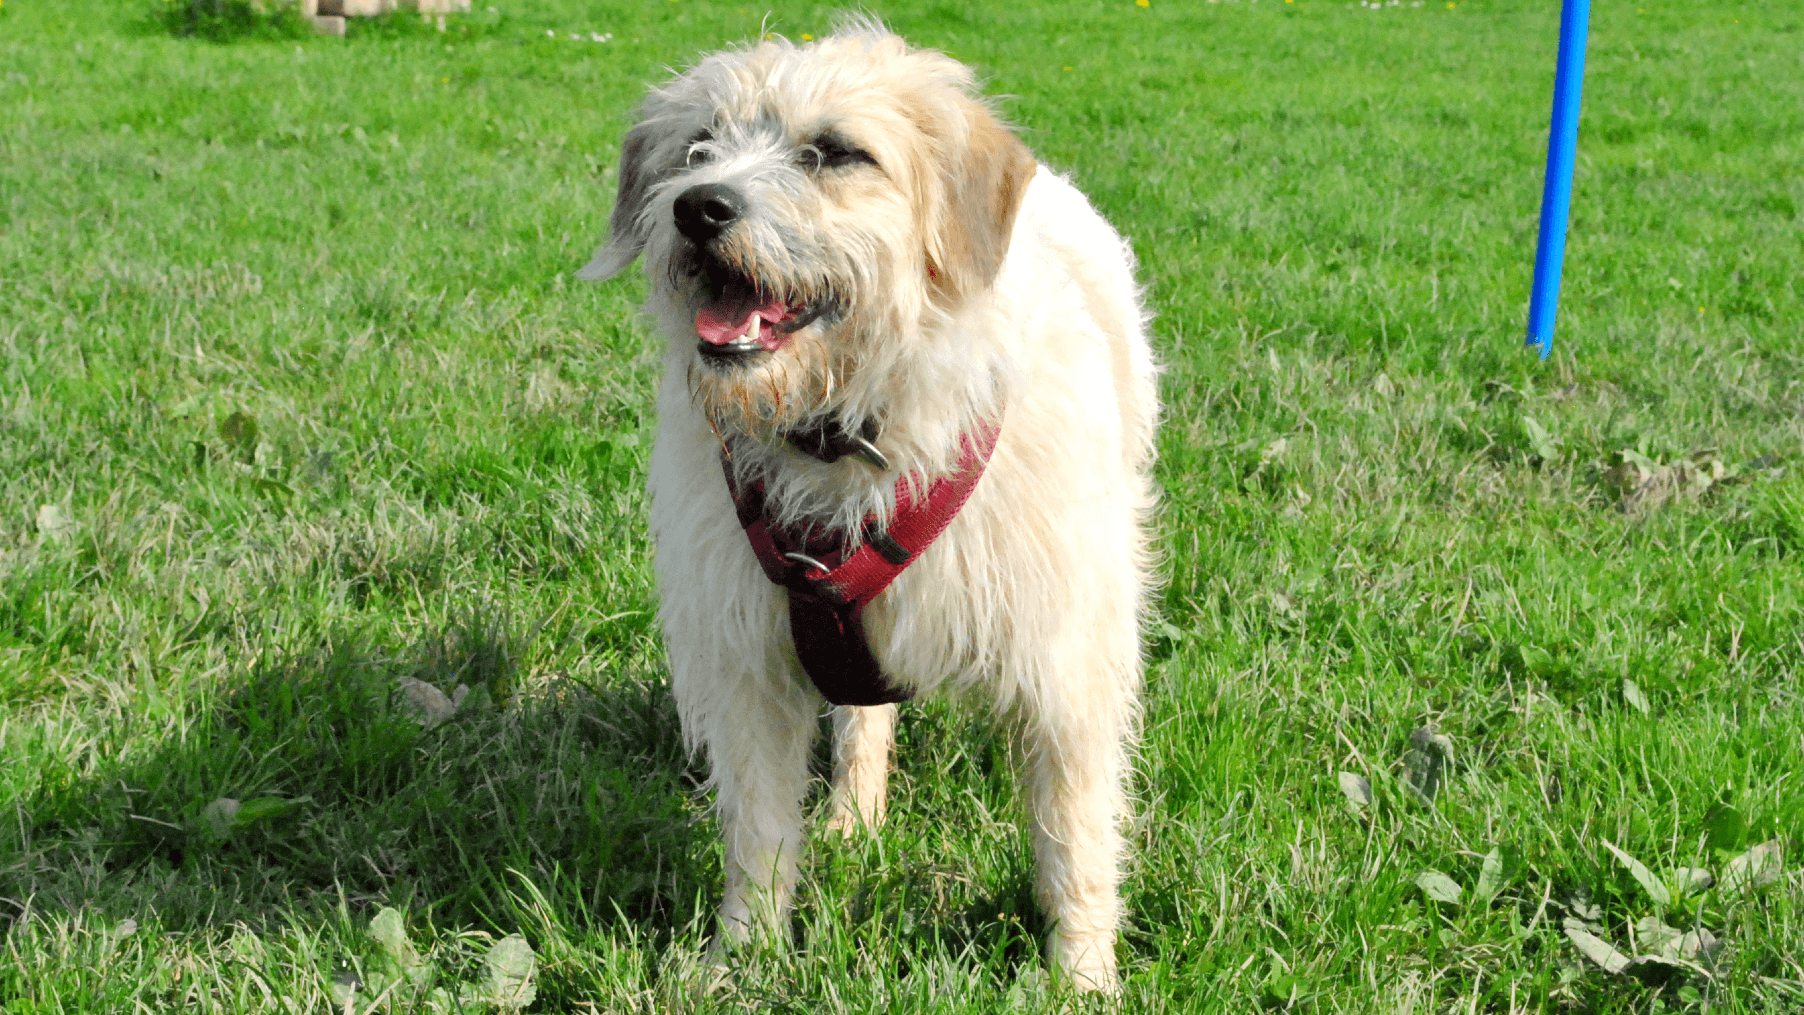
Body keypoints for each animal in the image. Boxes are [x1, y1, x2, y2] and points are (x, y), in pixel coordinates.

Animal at [584, 21, 1161, 995]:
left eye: (835, 152)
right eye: (697, 146)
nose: (698, 207)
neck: (846, 427)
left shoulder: (1065, 666)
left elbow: (1072, 840)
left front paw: (1081, 979)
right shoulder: (750, 662)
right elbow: (760, 830)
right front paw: (742, 960)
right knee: (862, 717)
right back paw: (855, 817)